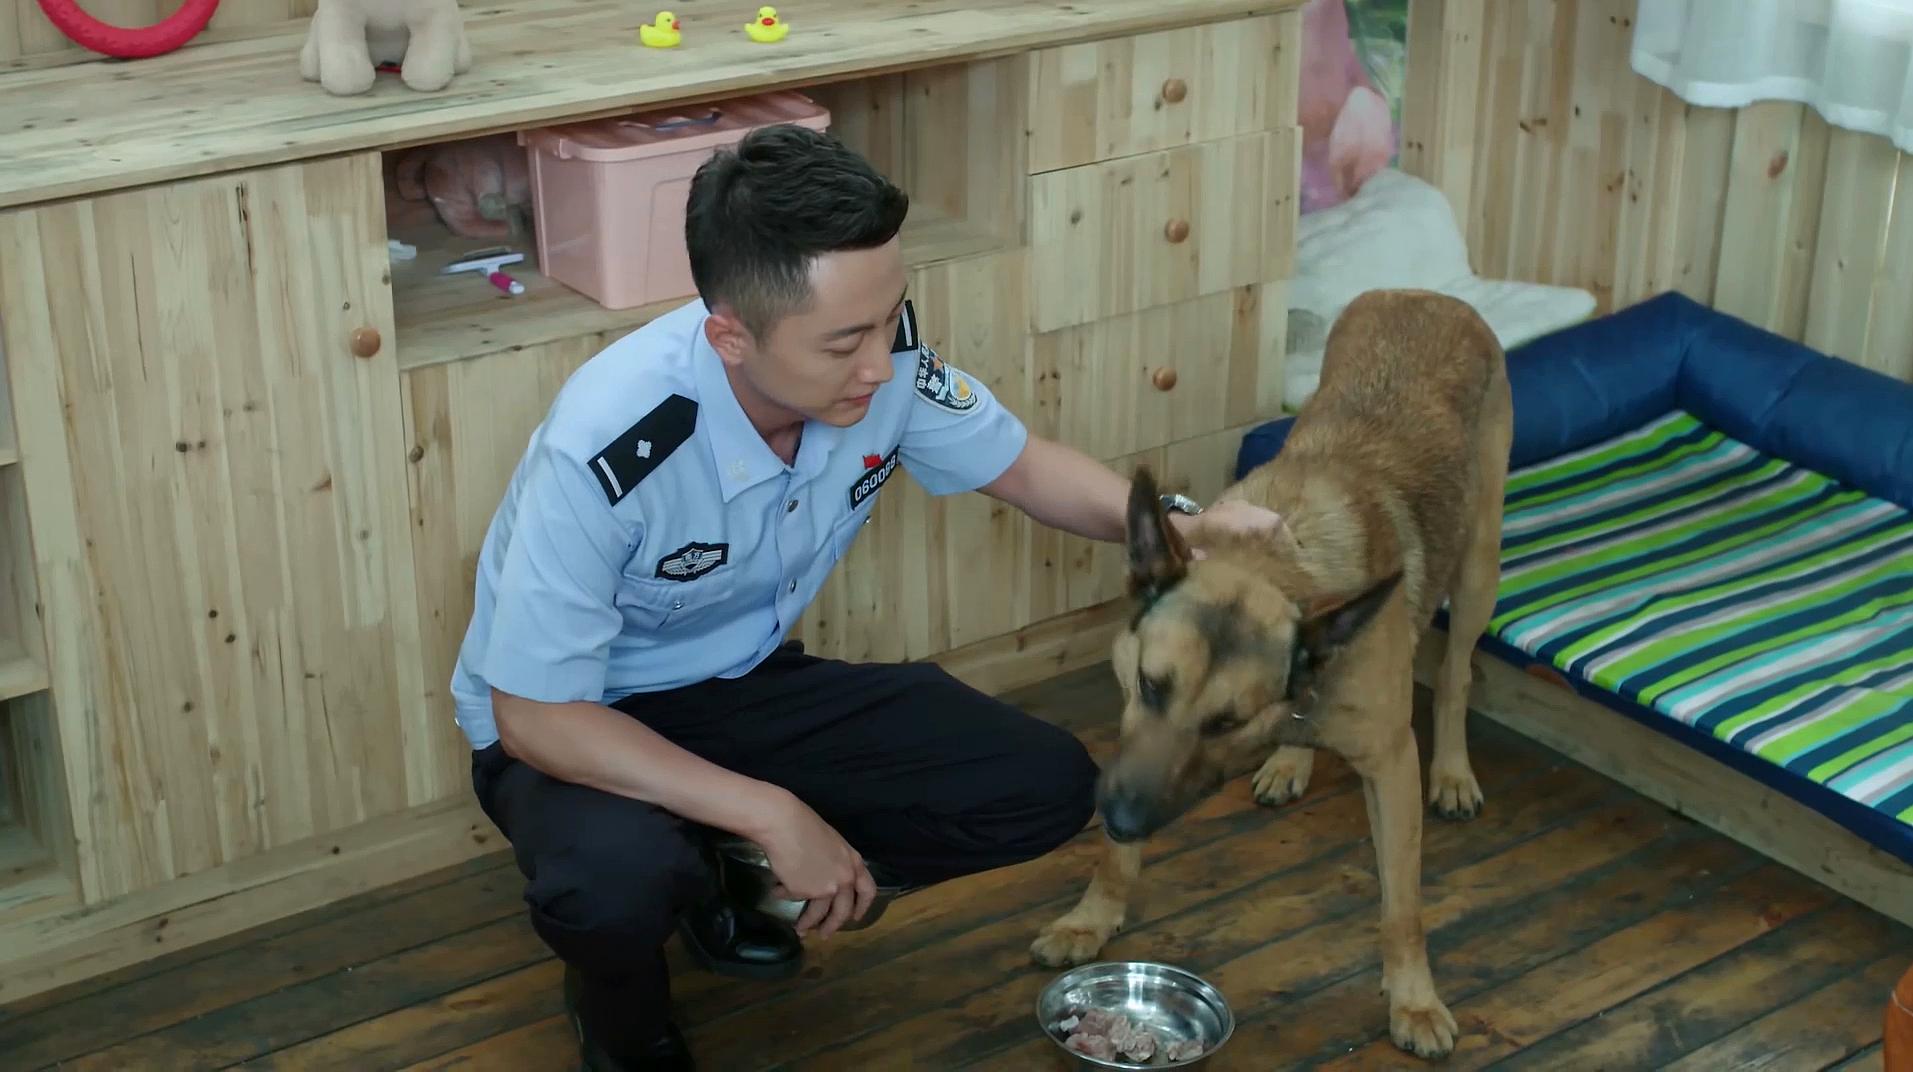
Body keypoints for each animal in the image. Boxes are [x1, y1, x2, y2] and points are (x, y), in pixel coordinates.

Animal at [1033, 289, 1507, 1056]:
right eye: (1151, 686)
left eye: (1224, 722)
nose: (1123, 818)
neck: (1277, 563)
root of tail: (1424, 295)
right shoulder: (1134, 737)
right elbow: (1114, 858)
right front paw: (1091, 917)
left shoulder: (1391, 765)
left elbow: (1402, 905)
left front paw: (1414, 1000)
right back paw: (1290, 760)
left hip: (1477, 570)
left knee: (1459, 674)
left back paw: (1454, 772)